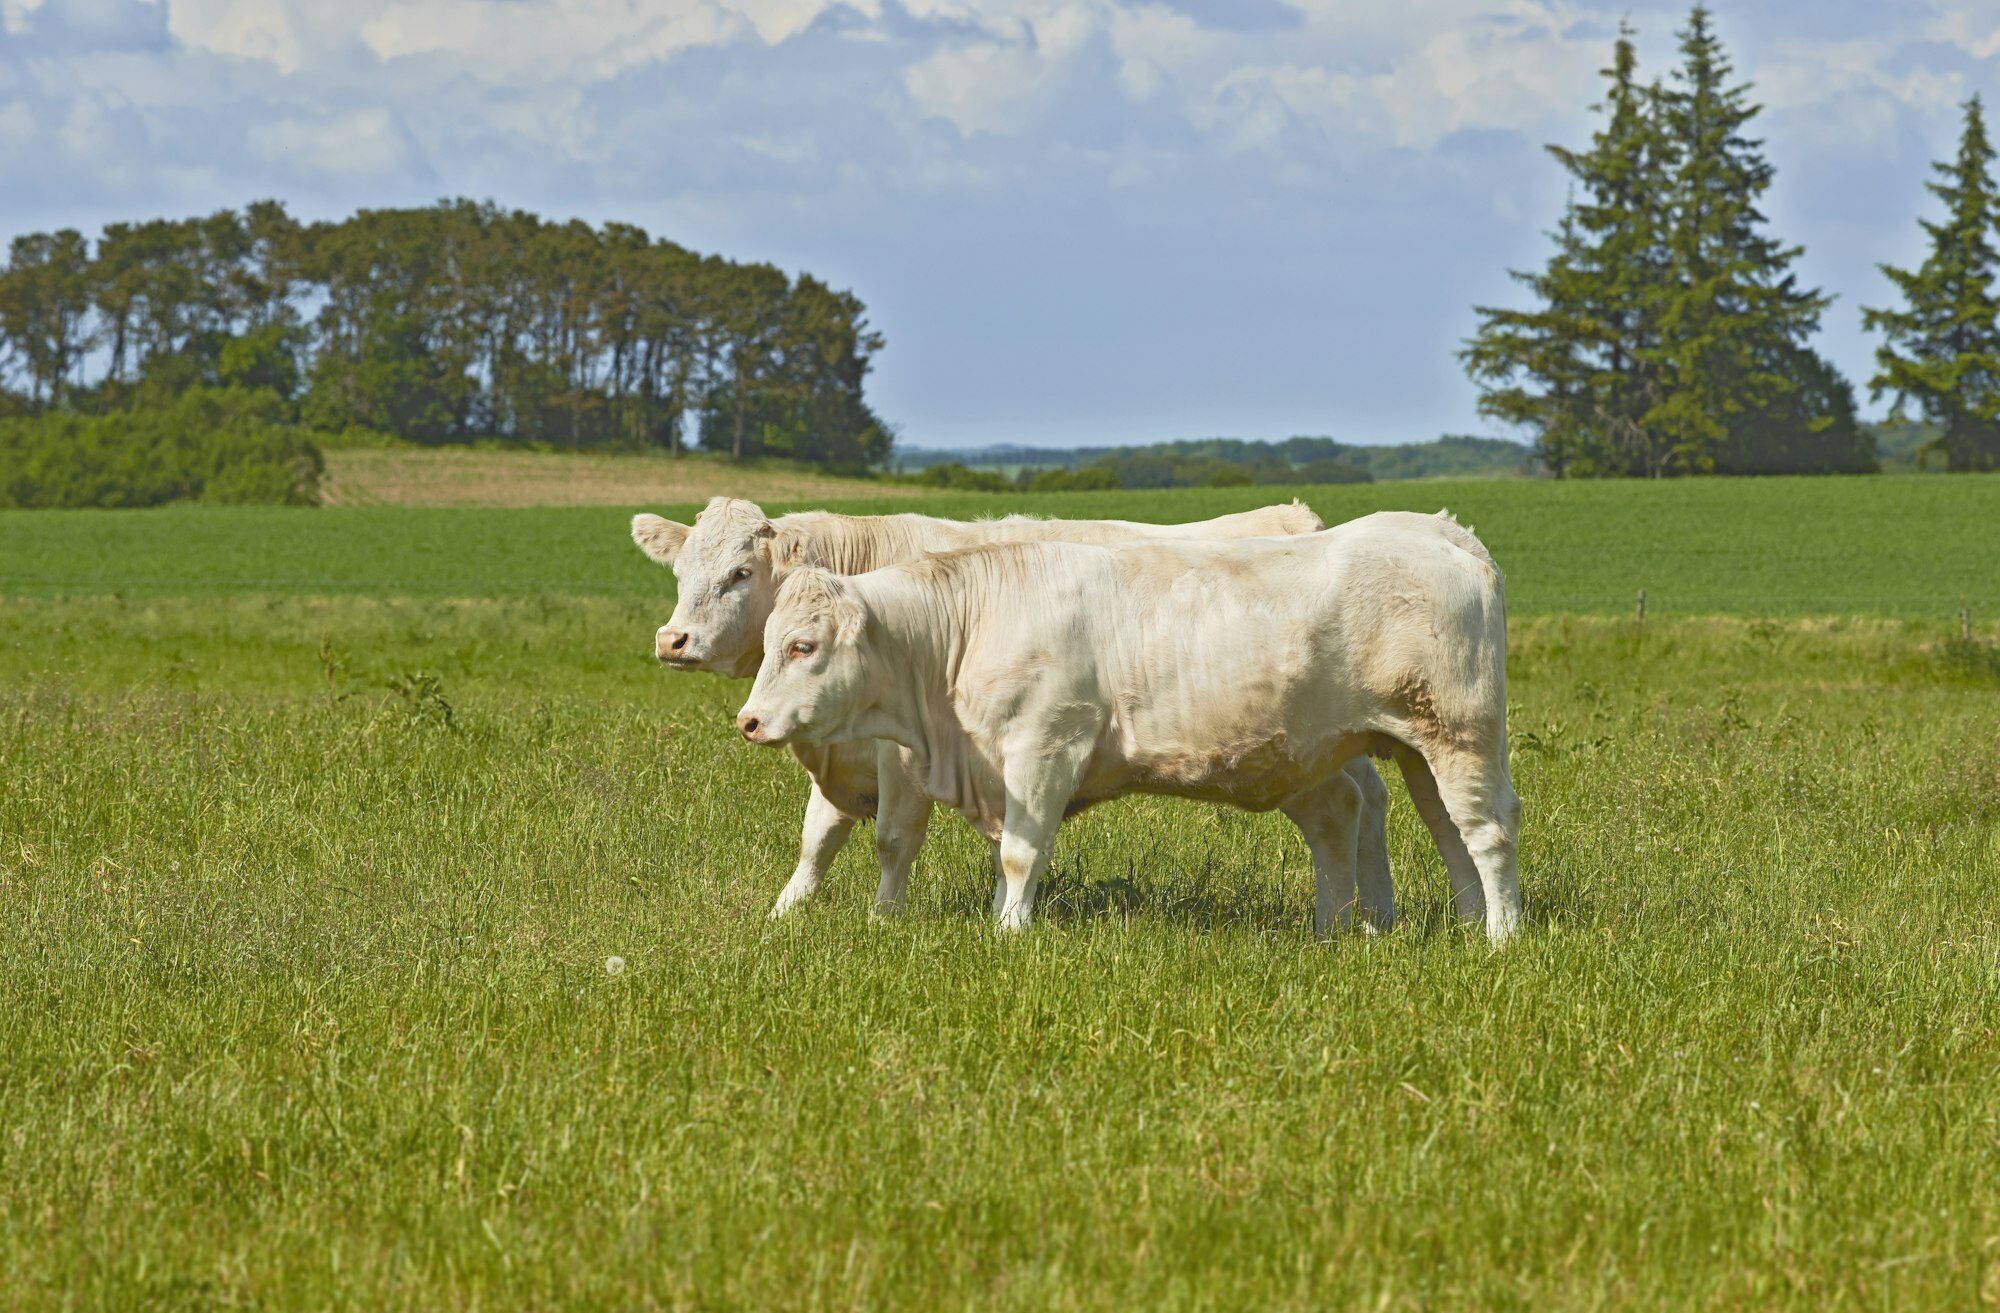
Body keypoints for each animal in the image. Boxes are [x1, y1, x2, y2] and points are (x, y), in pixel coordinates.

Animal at [733, 510, 1521, 942]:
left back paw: (1501, 939)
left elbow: (1021, 853)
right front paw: (1001, 920)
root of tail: (1440, 531)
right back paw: (1433, 927)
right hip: (1399, 750)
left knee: (1486, 830)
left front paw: (1009, 932)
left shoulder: (1047, 745)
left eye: (802, 645)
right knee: (1424, 829)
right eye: (769, 642)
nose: (749, 720)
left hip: (1460, 732)